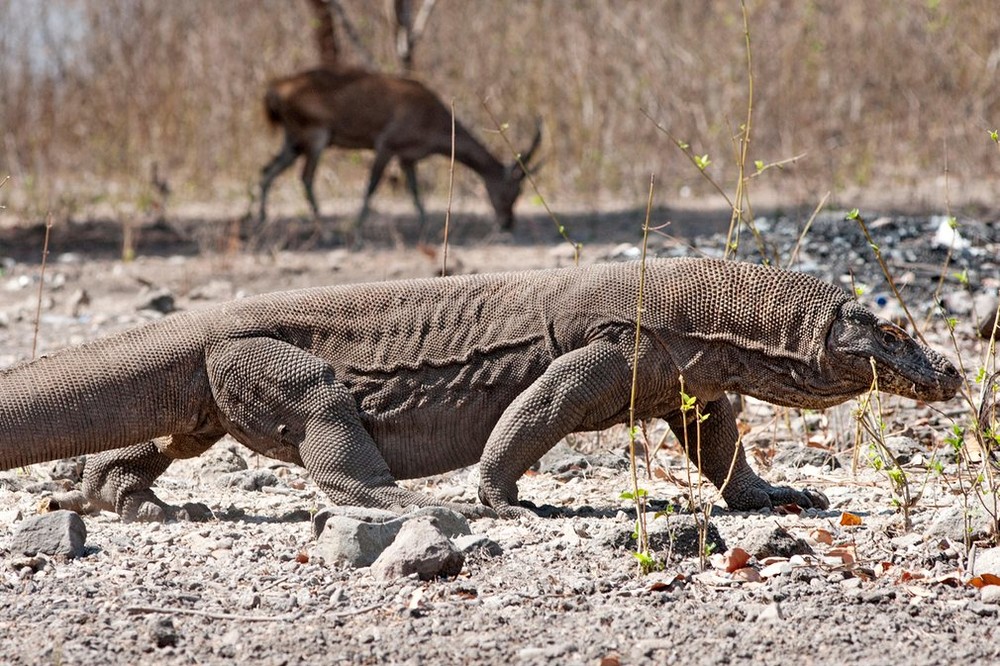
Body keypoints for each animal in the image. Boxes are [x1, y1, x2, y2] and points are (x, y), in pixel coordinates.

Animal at [256, 67, 540, 236]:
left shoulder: (407, 157)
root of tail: (274, 89)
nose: (507, 223)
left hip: (293, 142)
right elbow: (372, 184)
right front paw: (357, 226)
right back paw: (323, 227)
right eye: (513, 191)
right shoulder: (386, 146)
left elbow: (414, 190)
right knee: (305, 177)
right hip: (316, 139)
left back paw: (259, 218)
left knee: (266, 171)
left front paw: (427, 226)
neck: (432, 116)